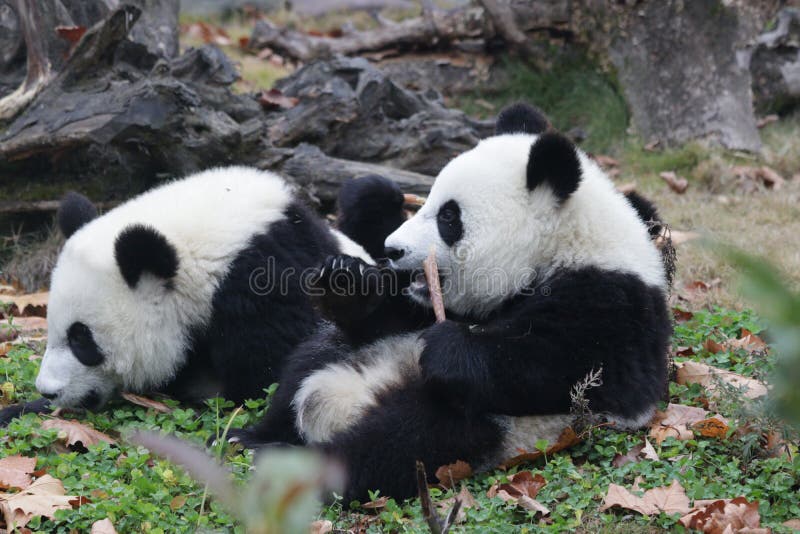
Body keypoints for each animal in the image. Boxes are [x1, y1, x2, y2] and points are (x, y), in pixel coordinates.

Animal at [228, 103, 672, 502]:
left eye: (448, 217)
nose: (391, 249)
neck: (562, 245)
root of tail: (340, 403)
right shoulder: (429, 308)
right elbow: (390, 314)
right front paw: (346, 282)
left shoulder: (613, 305)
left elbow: (564, 366)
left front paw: (449, 349)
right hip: (349, 355)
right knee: (306, 365)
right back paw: (254, 437)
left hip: (495, 425)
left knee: (401, 441)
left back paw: (306, 469)